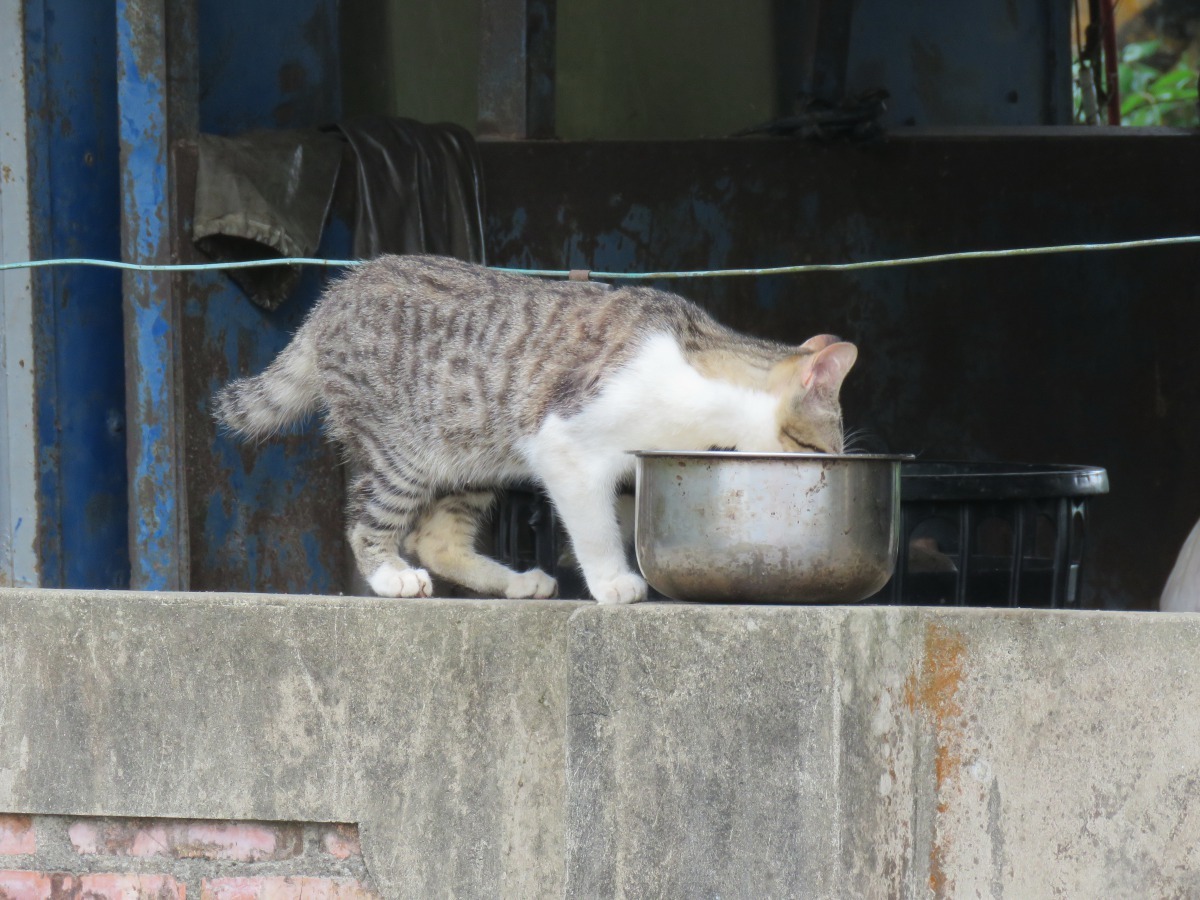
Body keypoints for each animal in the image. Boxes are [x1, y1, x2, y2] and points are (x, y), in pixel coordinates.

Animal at [213, 254, 854, 607]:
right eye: (827, 447)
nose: (832, 466)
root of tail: (337, 291)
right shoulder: (563, 445)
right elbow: (593, 528)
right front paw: (614, 582)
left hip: (472, 456)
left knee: (437, 539)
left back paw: (515, 584)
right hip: (403, 452)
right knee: (369, 525)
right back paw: (392, 577)